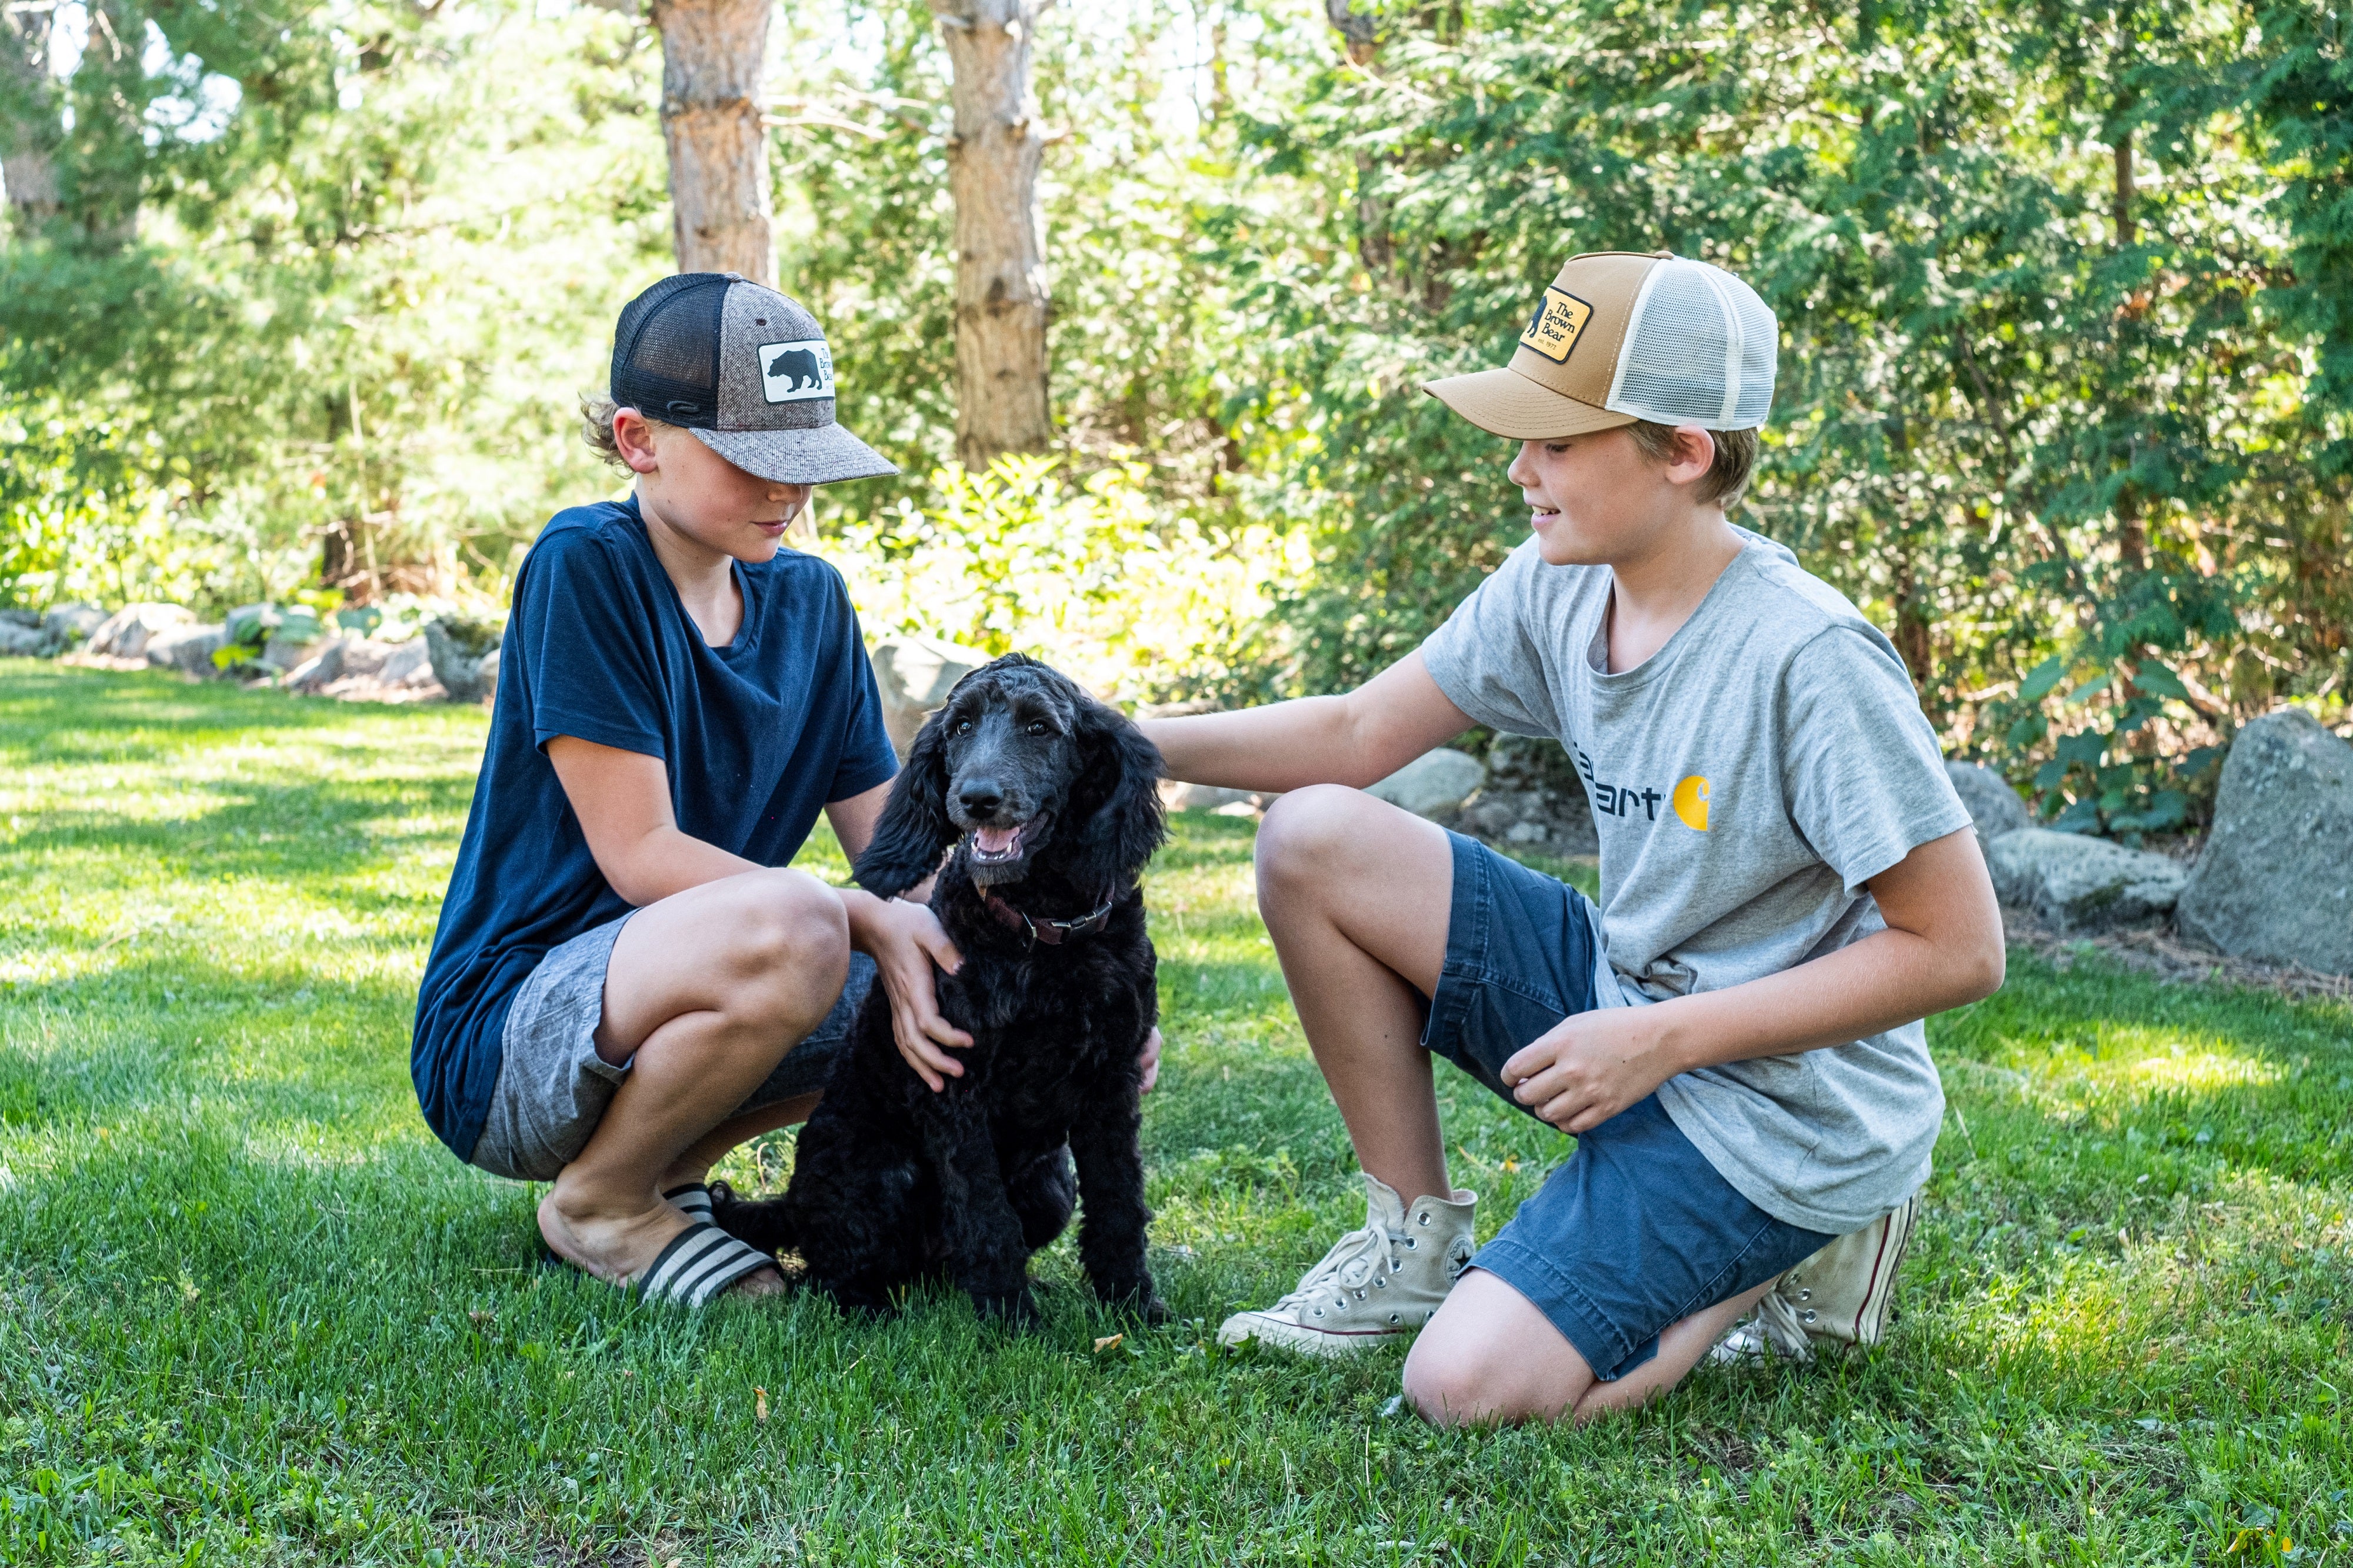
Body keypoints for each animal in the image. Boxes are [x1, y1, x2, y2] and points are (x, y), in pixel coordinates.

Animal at [706, 645, 1167, 1318]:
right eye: (961, 727)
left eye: (1040, 728)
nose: (976, 797)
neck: (1043, 930)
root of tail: (792, 1201)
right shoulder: (956, 1088)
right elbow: (986, 1216)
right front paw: (1010, 1319)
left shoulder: (1113, 1083)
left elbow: (1119, 1203)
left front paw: (1133, 1305)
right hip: (875, 1177)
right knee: (832, 1272)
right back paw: (873, 1309)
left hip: (1050, 1183)